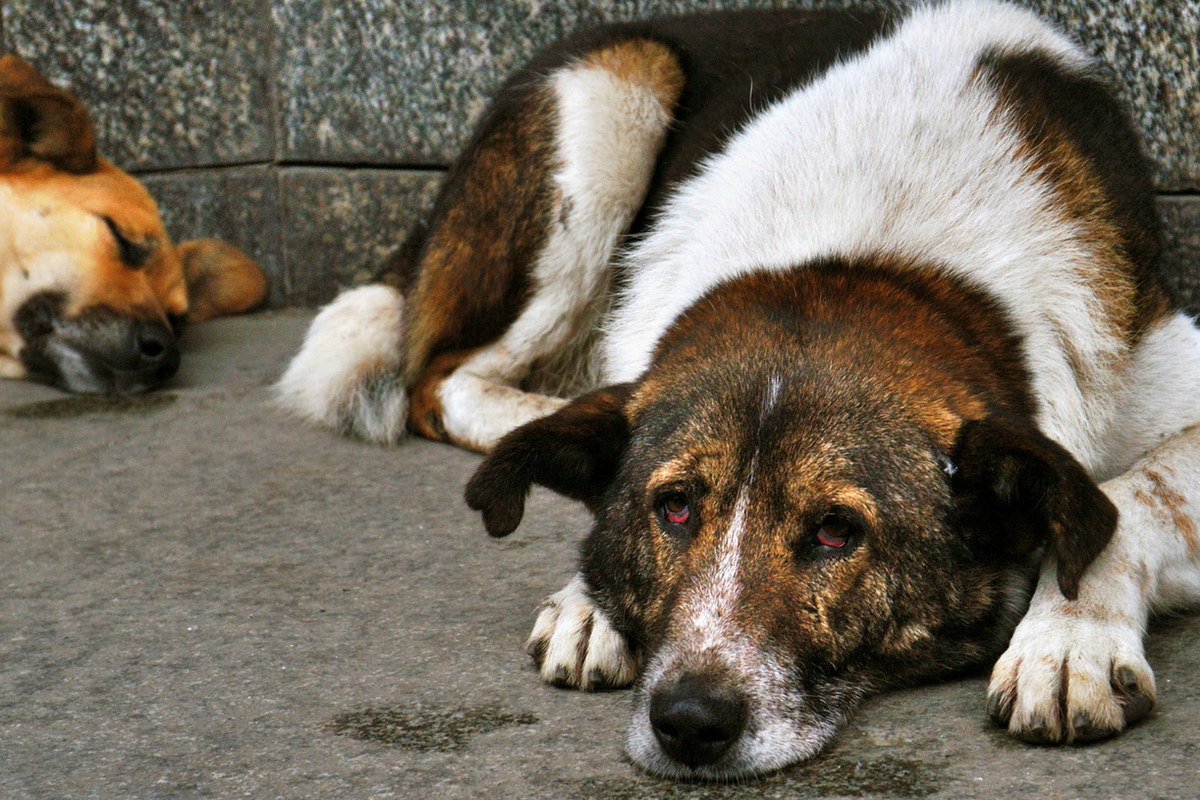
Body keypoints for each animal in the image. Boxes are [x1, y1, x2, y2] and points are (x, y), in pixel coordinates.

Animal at [276, 0, 1200, 777]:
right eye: (675, 508)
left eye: (836, 531)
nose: (689, 722)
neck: (863, 258)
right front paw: (587, 595)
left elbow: (1128, 496)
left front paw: (1068, 642)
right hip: (614, 89)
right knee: (439, 376)